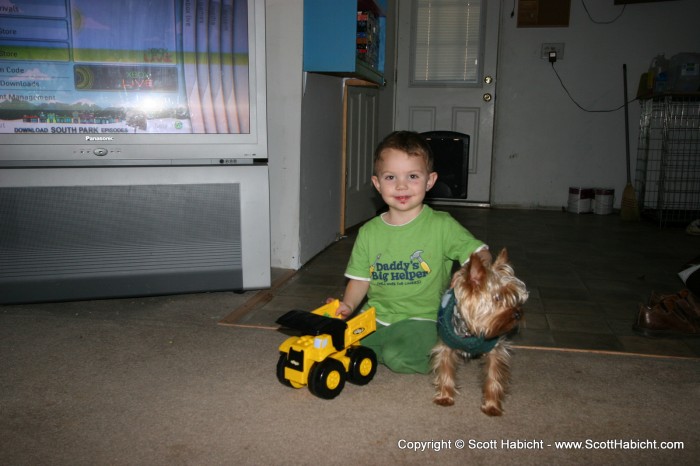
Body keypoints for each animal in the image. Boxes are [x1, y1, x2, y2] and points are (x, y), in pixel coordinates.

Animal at [430, 249, 528, 416]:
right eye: (497, 298)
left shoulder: (495, 349)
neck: (470, 332)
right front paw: (445, 396)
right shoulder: (446, 346)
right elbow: (445, 368)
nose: (518, 313)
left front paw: (492, 406)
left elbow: (494, 376)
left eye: (514, 297)